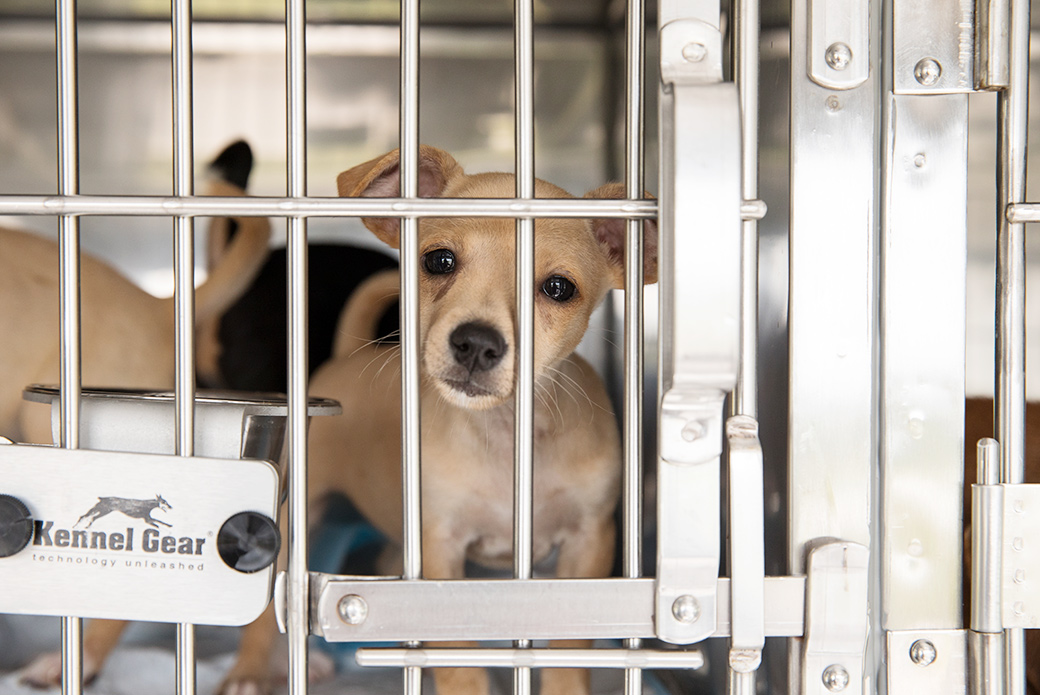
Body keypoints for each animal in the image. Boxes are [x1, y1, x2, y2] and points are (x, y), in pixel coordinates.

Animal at [303, 147, 657, 695]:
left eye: (558, 288)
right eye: (439, 260)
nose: (476, 343)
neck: (506, 435)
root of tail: (347, 356)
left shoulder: (589, 542)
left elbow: (569, 650)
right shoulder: (438, 551)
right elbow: (458, 659)